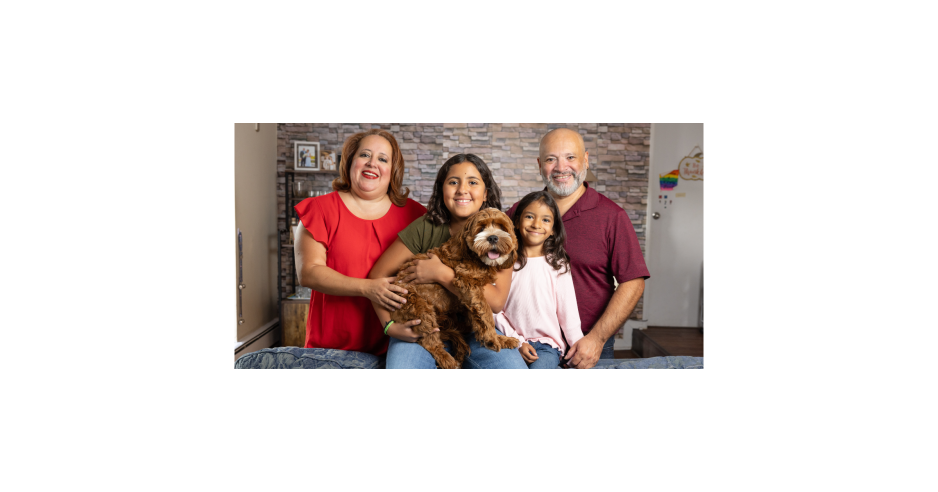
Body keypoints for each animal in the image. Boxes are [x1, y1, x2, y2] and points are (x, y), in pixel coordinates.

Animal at [388, 208, 520, 368]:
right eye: (481, 228)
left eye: (502, 227)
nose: (493, 238)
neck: (476, 258)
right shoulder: (467, 280)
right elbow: (486, 311)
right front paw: (492, 338)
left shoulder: (469, 297)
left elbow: (478, 315)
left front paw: (500, 339)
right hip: (417, 306)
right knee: (429, 341)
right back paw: (448, 360)